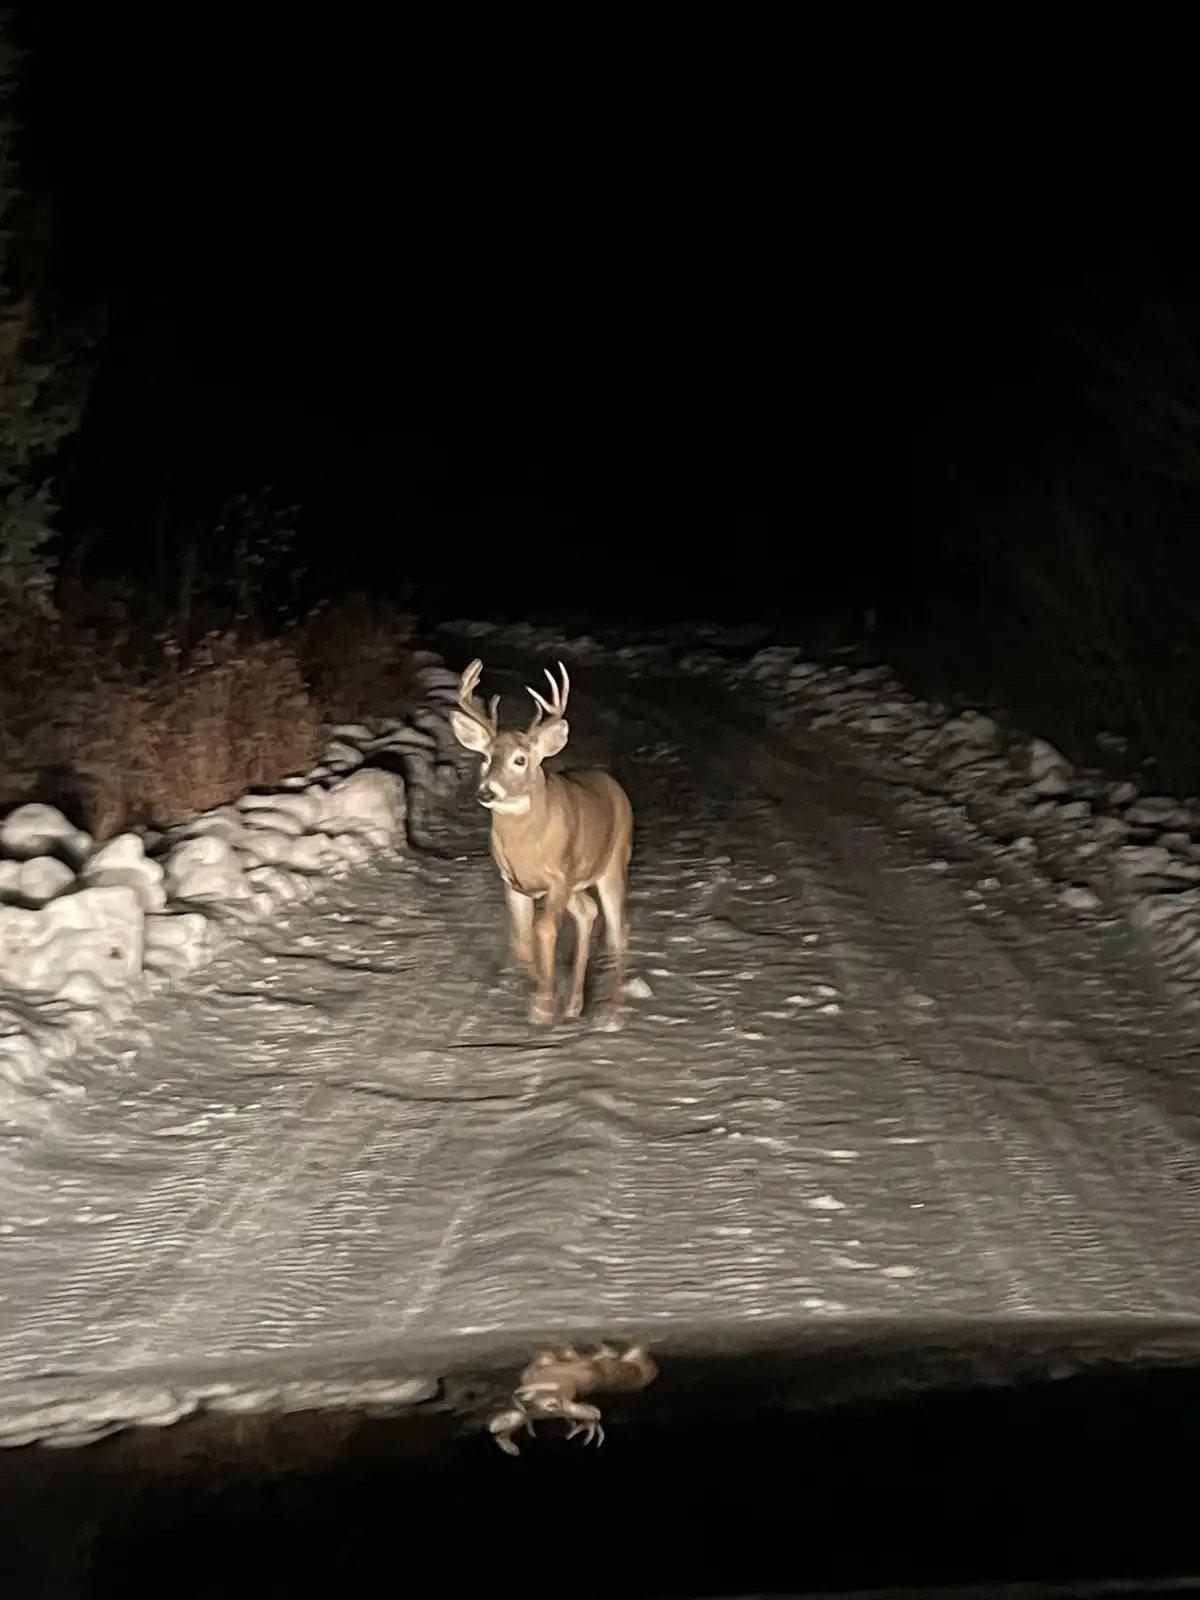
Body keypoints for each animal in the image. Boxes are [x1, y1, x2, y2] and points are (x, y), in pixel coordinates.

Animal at [449, 657, 633, 1029]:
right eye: (485, 758)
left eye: (520, 760)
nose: (487, 792)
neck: (526, 846)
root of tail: (611, 783)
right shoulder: (514, 883)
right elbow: (520, 937)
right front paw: (542, 998)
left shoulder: (559, 877)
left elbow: (544, 929)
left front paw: (546, 1003)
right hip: (578, 883)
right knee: (588, 912)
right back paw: (575, 1003)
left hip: (613, 863)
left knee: (617, 931)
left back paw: (611, 1012)